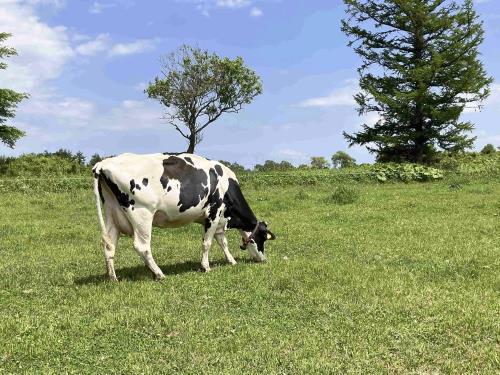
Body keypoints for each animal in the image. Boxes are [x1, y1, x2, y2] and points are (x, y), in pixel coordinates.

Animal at [92, 153, 276, 282]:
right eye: (262, 239)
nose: (263, 259)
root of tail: (103, 163)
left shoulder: (219, 219)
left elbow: (222, 241)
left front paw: (231, 261)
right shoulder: (213, 213)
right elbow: (207, 243)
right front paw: (206, 267)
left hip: (112, 213)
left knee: (109, 245)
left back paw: (113, 277)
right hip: (141, 214)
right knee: (142, 246)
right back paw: (159, 273)